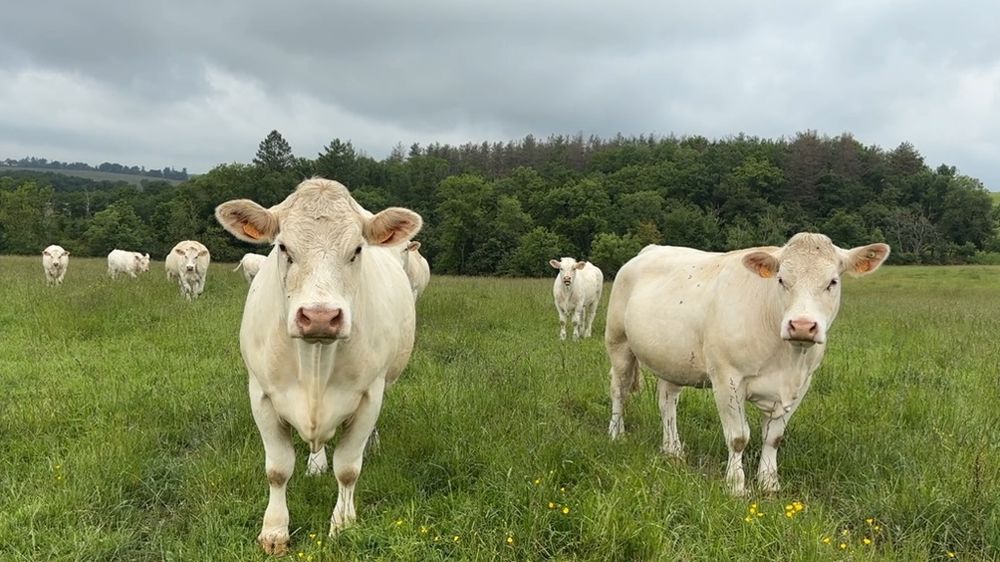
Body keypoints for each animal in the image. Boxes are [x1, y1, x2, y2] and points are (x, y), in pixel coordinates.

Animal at [214, 177, 421, 555]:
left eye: (357, 250)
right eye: (283, 247)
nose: (320, 317)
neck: (314, 362)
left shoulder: (369, 395)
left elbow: (348, 469)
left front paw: (343, 524)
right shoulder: (260, 394)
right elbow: (277, 469)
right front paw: (274, 531)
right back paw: (315, 462)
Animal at [605, 233, 890, 496]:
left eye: (832, 282)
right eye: (781, 280)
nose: (802, 326)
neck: (787, 360)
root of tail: (651, 249)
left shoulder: (801, 383)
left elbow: (774, 437)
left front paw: (769, 483)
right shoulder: (727, 379)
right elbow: (738, 437)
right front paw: (736, 486)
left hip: (672, 360)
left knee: (667, 403)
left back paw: (673, 450)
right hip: (618, 343)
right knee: (619, 391)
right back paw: (616, 435)